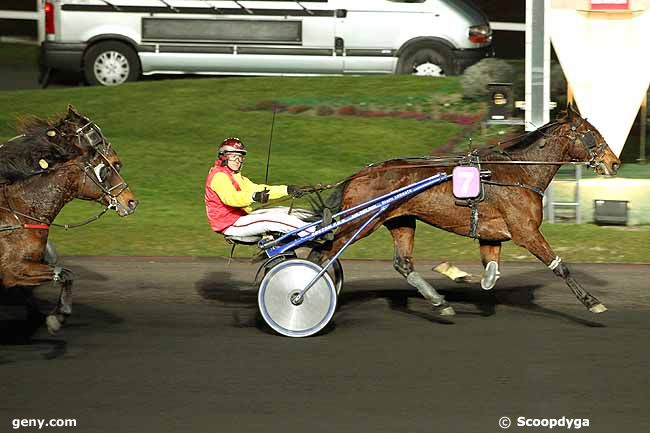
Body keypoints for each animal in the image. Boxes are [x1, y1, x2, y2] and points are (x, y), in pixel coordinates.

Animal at [0, 104, 138, 334]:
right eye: (108, 168)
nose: (131, 202)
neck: (18, 211)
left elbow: (62, 274)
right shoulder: (13, 270)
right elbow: (64, 274)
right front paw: (57, 316)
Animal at [314, 106, 616, 316]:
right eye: (592, 134)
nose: (614, 162)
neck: (520, 172)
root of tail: (358, 175)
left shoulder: (491, 236)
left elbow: (489, 277)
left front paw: (454, 274)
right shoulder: (526, 232)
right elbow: (559, 267)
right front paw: (592, 302)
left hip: (402, 221)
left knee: (403, 263)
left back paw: (438, 302)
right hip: (358, 224)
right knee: (322, 254)